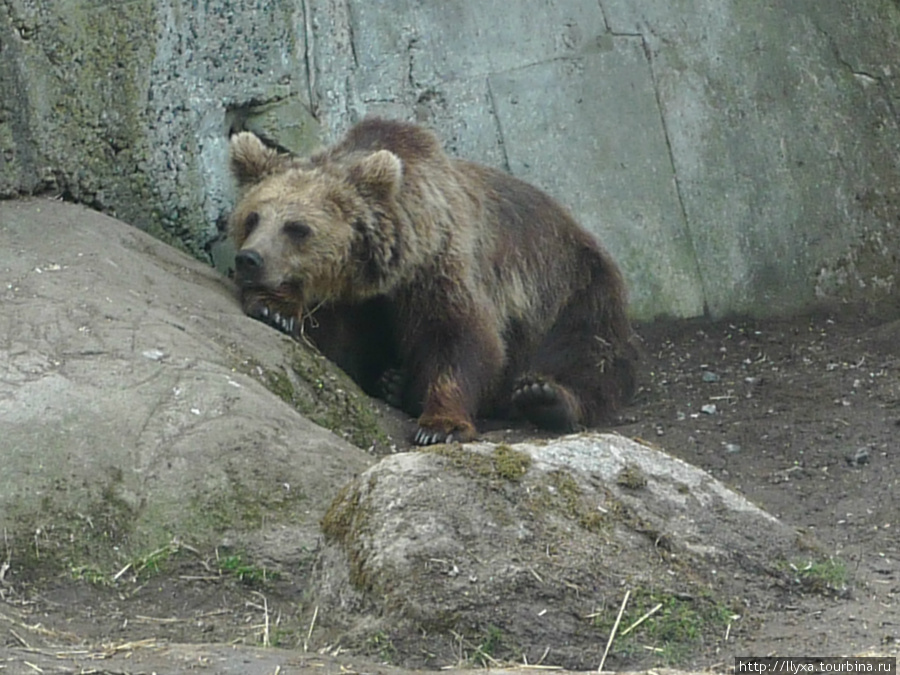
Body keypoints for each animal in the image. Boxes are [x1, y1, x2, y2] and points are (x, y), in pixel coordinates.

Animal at [232, 119, 640, 446]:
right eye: (253, 218)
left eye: (297, 228)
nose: (249, 259)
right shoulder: (356, 304)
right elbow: (337, 344)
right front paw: (275, 307)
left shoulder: (439, 266)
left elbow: (461, 337)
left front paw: (440, 425)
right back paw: (396, 383)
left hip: (571, 286)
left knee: (587, 349)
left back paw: (547, 397)